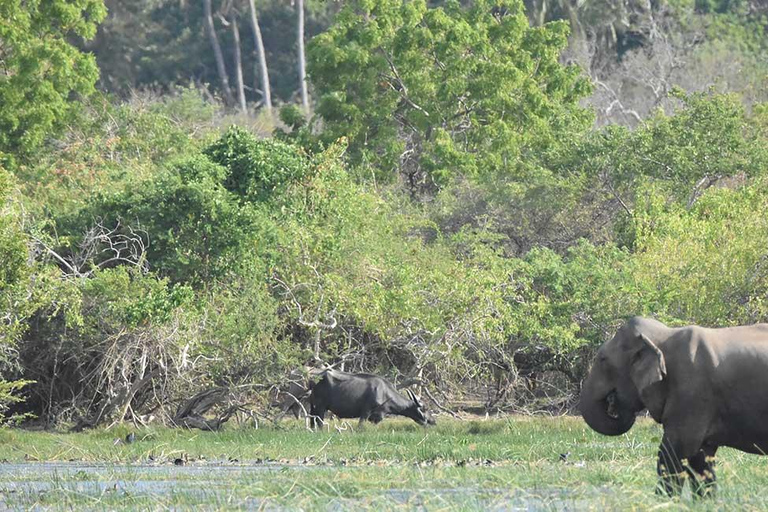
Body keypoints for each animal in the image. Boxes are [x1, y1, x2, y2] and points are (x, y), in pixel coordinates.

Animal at [308, 368, 436, 428]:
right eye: (425, 409)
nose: (433, 421)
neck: (384, 393)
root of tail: (314, 377)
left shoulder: (376, 417)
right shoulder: (365, 412)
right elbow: (360, 427)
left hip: (313, 407)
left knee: (312, 421)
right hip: (321, 407)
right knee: (319, 422)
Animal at [580, 316, 768, 496]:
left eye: (602, 360)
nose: (613, 402)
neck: (664, 335)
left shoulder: (692, 393)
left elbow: (673, 452)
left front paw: (663, 501)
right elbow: (700, 458)